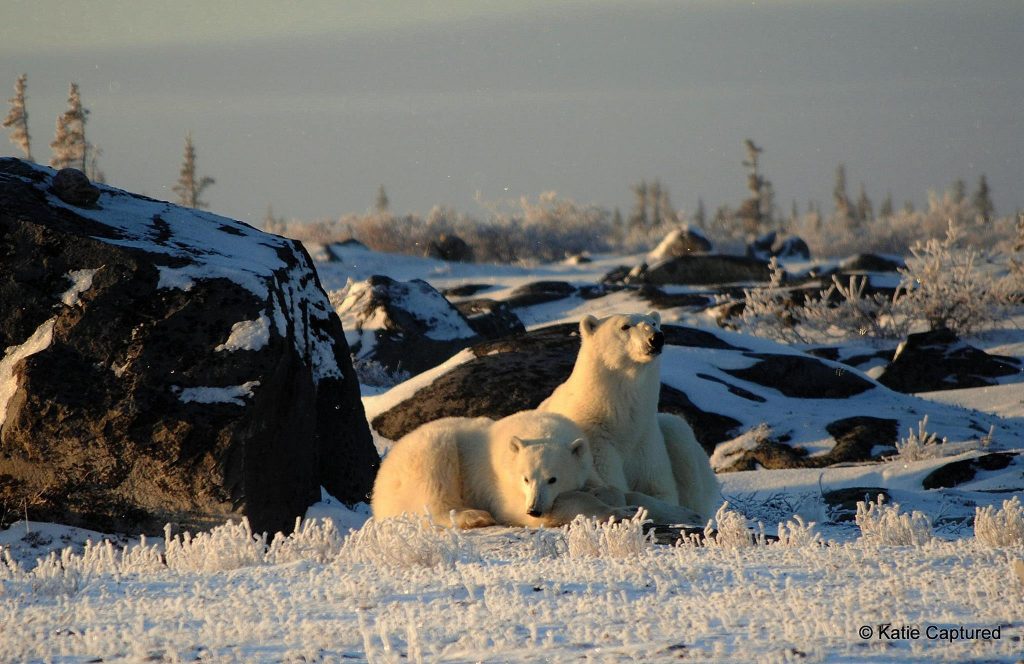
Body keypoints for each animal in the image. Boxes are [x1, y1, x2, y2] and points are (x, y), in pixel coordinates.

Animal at [370, 410, 634, 528]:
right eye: (526, 478)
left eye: (553, 479)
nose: (534, 509)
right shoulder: (503, 487)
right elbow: (557, 506)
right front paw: (618, 511)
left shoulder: (584, 463)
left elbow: (604, 486)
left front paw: (611, 497)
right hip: (428, 454)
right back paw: (475, 515)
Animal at [539, 311, 721, 525]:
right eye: (625, 326)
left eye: (653, 323)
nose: (656, 338)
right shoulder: (595, 442)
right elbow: (613, 488)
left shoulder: (646, 439)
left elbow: (659, 488)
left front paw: (682, 513)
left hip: (675, 434)